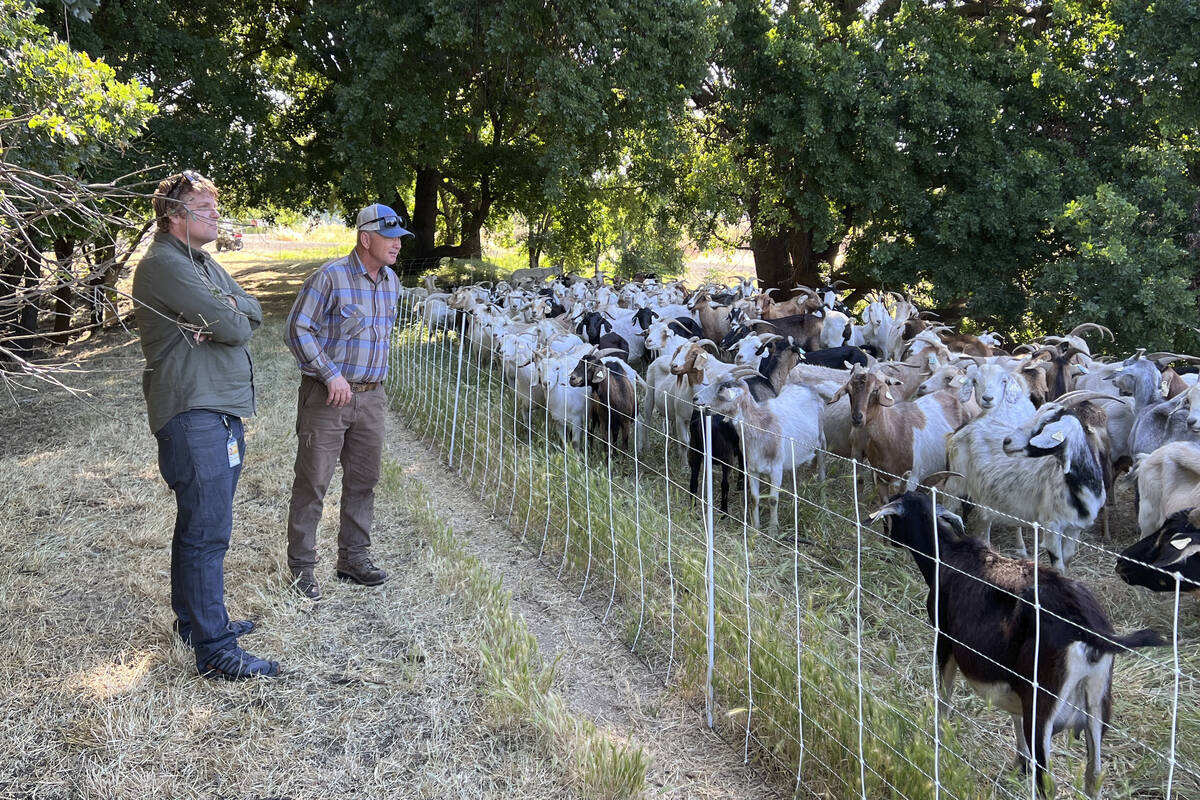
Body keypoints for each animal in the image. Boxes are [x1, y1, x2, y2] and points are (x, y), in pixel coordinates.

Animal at [873, 491, 1161, 796]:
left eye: (892, 517)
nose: (890, 540)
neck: (947, 557)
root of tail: (1088, 628)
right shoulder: (1014, 682)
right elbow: (1014, 717)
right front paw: (1019, 763)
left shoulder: (945, 639)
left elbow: (944, 697)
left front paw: (937, 741)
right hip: (1097, 702)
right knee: (1093, 775)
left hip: (1043, 705)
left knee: (1047, 782)